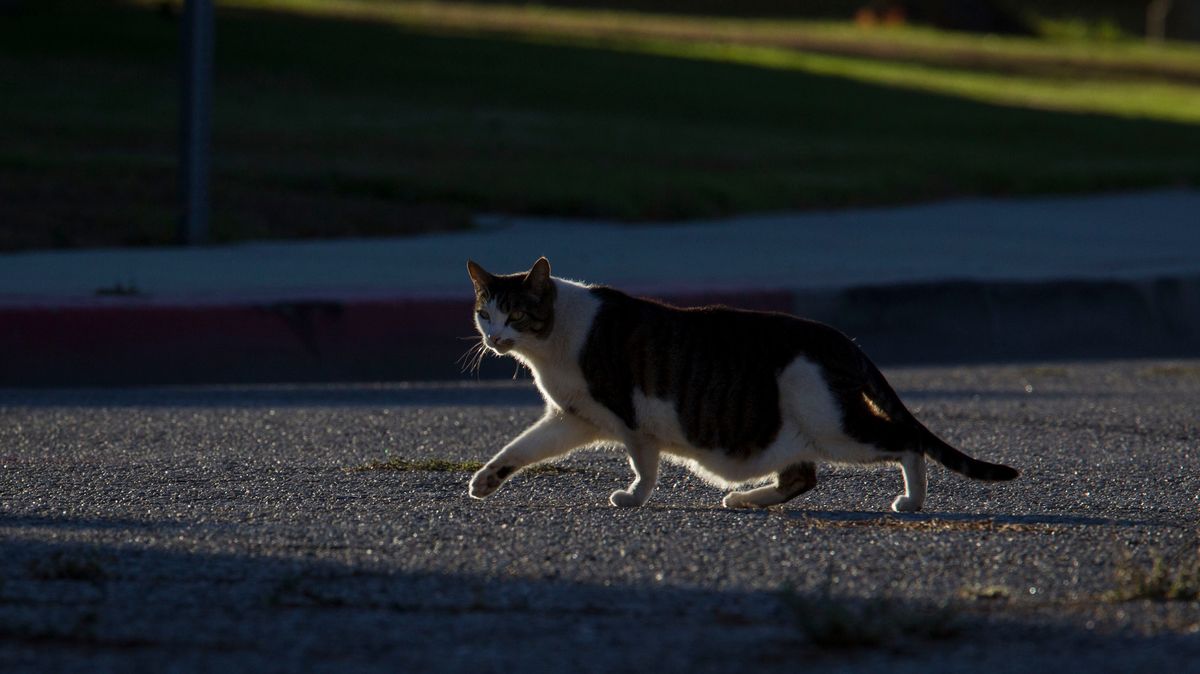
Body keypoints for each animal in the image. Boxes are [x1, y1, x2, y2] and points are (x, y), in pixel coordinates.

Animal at [463, 255, 1017, 508]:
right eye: (484, 313)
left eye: (516, 314)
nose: (494, 338)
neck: (551, 347)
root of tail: (841, 339)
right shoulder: (574, 417)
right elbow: (522, 447)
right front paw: (486, 480)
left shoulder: (627, 414)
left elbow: (644, 462)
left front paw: (634, 496)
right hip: (794, 430)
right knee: (802, 477)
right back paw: (745, 499)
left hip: (835, 425)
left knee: (907, 442)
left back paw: (912, 501)